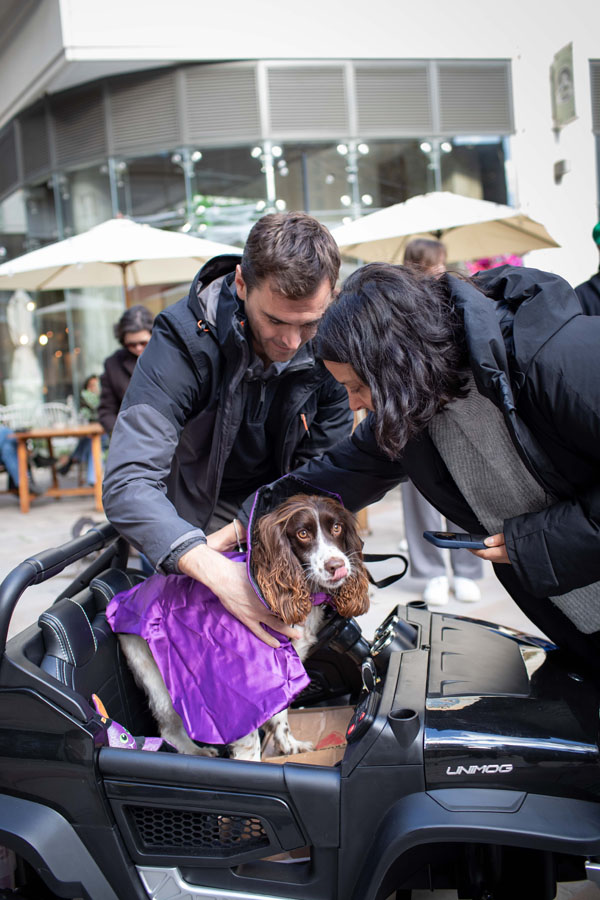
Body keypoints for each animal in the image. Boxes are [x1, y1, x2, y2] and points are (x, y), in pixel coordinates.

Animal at [116, 494, 370, 760]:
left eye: (337, 527)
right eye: (302, 533)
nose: (337, 565)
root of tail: (126, 595)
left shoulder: (283, 666)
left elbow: (280, 714)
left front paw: (289, 746)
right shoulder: (239, 682)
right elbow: (249, 738)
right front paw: (253, 765)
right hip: (154, 674)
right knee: (168, 727)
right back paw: (196, 751)